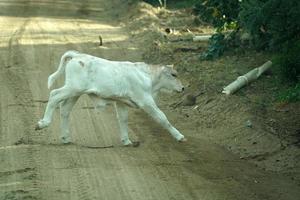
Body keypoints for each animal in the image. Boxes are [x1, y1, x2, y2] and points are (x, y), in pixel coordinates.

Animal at [35, 50, 185, 145]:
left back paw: (66, 137)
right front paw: (180, 136)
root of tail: (78, 55)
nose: (183, 88)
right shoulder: (146, 101)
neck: (147, 76)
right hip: (73, 88)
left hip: (75, 93)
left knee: (65, 109)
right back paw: (43, 123)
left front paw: (126, 140)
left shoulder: (122, 102)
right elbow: (162, 118)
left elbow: (123, 119)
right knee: (54, 95)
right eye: (173, 74)